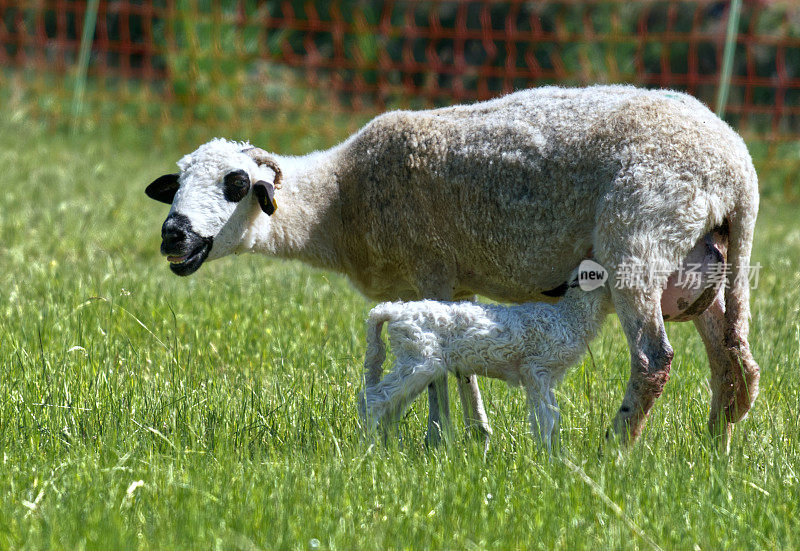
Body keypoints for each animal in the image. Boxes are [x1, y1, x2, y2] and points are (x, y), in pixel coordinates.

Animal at [358, 280, 612, 452]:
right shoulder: (535, 369)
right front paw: (546, 459)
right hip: (419, 359)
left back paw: (392, 450)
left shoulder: (547, 377)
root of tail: (391, 310)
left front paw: (559, 458)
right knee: (371, 399)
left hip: (416, 363)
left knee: (391, 407)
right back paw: (369, 450)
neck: (569, 318)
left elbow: (554, 416)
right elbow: (545, 421)